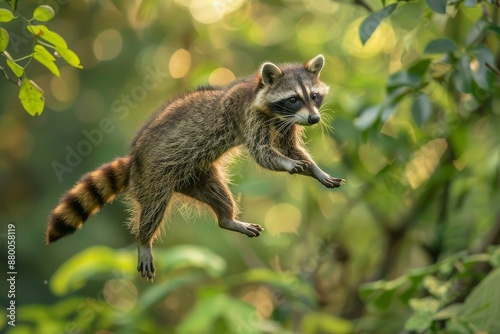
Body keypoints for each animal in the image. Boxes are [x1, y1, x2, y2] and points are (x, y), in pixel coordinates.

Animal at [46, 54, 344, 280]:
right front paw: (291, 163)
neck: (261, 96)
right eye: (294, 98)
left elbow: (289, 146)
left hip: (197, 177)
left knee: (220, 195)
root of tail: (134, 160)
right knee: (153, 208)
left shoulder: (283, 121)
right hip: (154, 177)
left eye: (314, 96)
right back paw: (144, 239)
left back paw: (227, 218)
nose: (314, 119)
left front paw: (314, 169)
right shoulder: (246, 115)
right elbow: (263, 153)